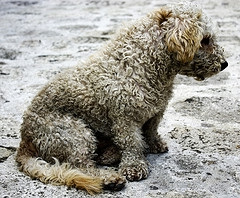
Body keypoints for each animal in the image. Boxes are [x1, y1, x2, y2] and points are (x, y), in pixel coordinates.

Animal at [16, 3, 227, 194]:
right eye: (205, 40)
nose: (224, 64)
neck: (144, 63)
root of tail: (25, 138)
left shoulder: (156, 112)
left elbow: (151, 131)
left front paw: (155, 145)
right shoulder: (125, 118)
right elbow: (132, 143)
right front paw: (134, 167)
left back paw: (110, 155)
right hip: (74, 133)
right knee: (81, 165)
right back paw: (109, 179)